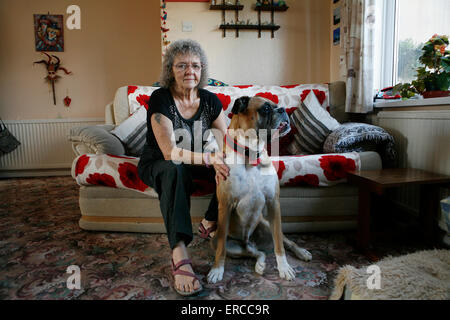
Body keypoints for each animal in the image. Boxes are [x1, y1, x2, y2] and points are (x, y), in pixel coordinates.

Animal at [207, 96, 312, 284]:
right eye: (266, 109)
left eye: (277, 106)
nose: (282, 109)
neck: (251, 155)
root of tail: (248, 241)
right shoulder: (225, 205)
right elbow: (221, 249)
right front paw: (217, 270)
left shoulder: (273, 203)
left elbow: (279, 245)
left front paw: (284, 268)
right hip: (225, 241)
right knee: (256, 253)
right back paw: (260, 264)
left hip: (267, 223)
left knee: (284, 242)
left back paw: (301, 252)